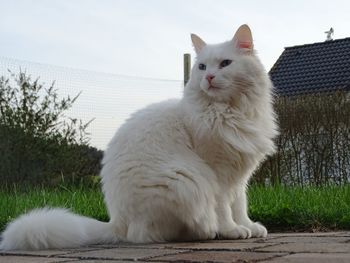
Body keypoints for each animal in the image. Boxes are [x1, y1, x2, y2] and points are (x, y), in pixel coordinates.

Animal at [0, 25, 278, 252]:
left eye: (225, 64)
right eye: (202, 67)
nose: (208, 77)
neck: (230, 112)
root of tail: (117, 223)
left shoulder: (239, 176)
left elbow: (240, 205)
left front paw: (250, 226)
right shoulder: (218, 173)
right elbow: (224, 208)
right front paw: (232, 230)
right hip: (186, 180)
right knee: (154, 234)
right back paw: (209, 232)